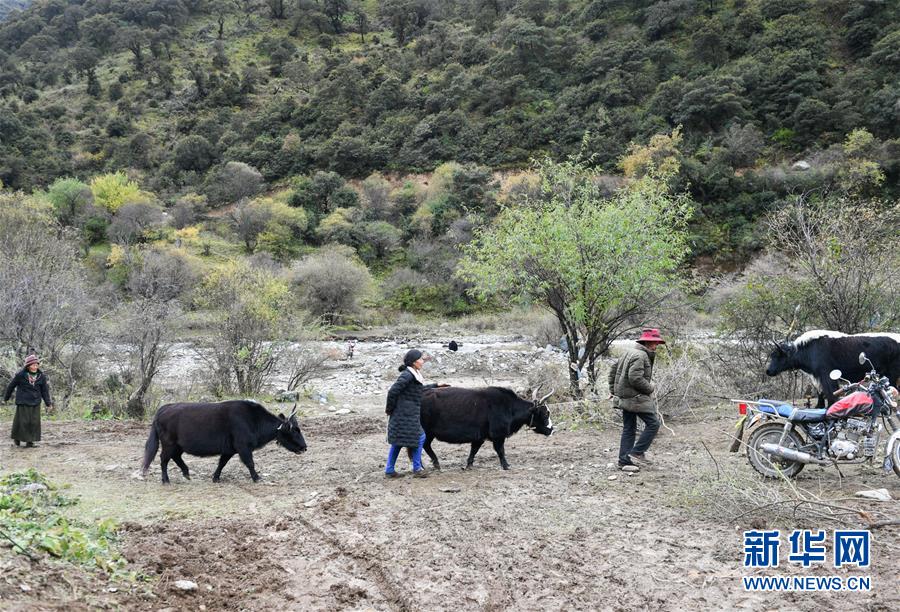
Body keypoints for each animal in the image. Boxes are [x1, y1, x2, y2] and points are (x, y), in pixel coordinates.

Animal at [141, 400, 307, 484]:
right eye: (294, 430)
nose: (304, 447)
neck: (253, 420)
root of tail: (162, 410)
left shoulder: (229, 450)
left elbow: (222, 463)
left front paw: (215, 478)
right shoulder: (243, 447)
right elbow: (250, 463)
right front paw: (257, 478)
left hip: (177, 446)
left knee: (175, 457)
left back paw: (187, 474)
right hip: (169, 444)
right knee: (164, 459)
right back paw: (166, 480)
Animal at [420, 386, 554, 470]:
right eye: (545, 414)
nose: (552, 429)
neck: (509, 407)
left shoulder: (479, 437)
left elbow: (474, 450)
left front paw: (469, 465)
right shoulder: (498, 435)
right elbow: (500, 451)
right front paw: (506, 466)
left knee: (424, 446)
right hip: (426, 432)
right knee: (422, 446)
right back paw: (432, 464)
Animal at [766, 330, 900, 408]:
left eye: (778, 355)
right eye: (772, 355)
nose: (768, 371)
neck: (808, 349)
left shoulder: (827, 376)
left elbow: (830, 393)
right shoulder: (818, 377)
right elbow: (821, 392)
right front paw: (819, 407)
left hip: (893, 374)